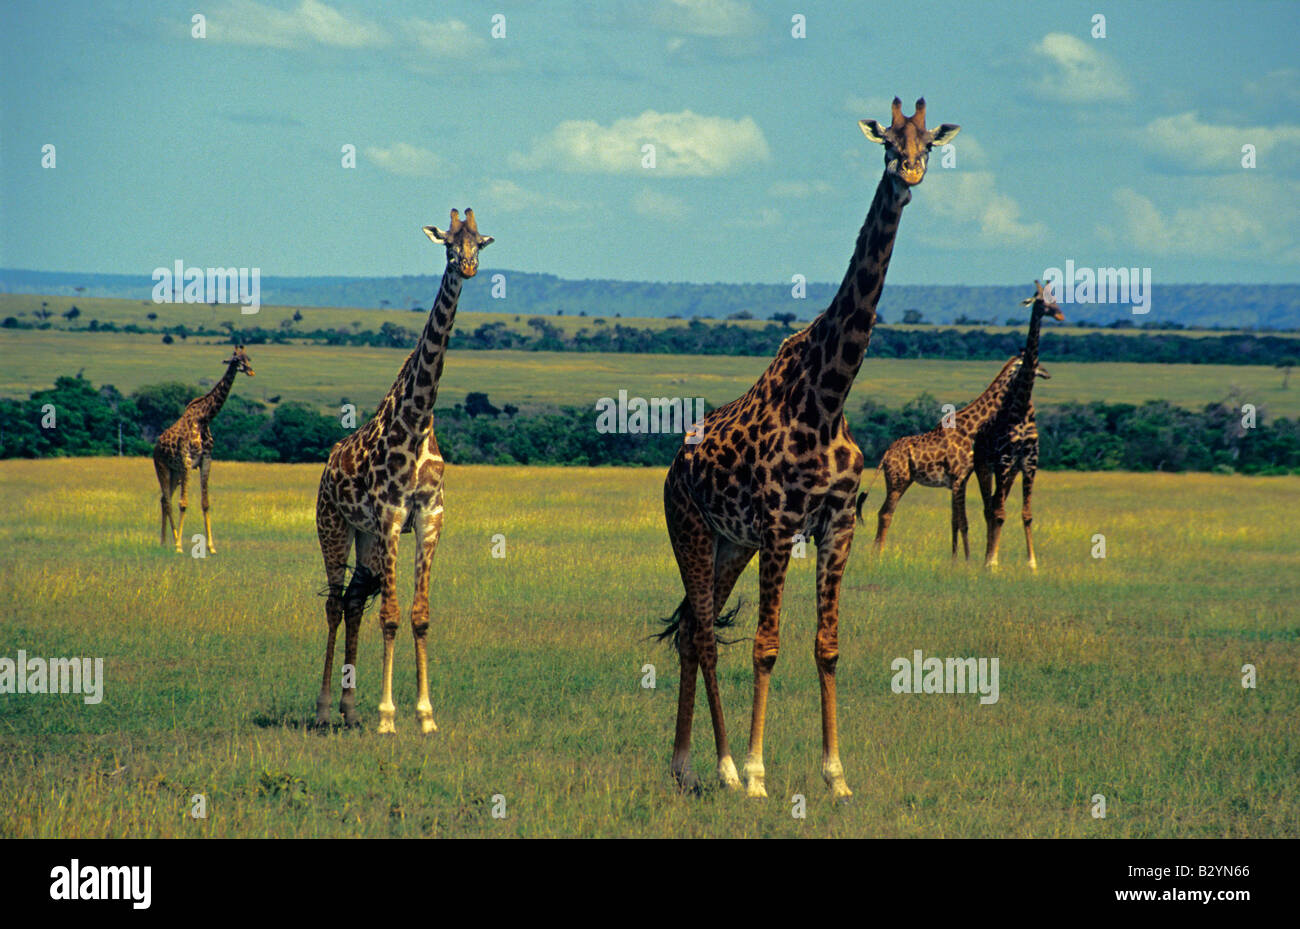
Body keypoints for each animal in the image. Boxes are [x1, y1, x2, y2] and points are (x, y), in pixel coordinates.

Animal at [151, 348, 253, 553]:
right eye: (237, 359)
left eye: (248, 358)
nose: (250, 371)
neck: (204, 418)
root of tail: (156, 448)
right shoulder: (187, 461)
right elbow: (183, 503)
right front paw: (179, 546)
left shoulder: (206, 460)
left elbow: (205, 503)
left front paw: (212, 547)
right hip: (162, 467)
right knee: (167, 501)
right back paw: (172, 541)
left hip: (175, 473)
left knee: (164, 499)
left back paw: (166, 541)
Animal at [314, 206, 491, 732]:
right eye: (448, 243)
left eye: (478, 242)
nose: (467, 266)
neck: (417, 422)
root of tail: (327, 466)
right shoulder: (392, 519)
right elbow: (390, 615)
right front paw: (389, 716)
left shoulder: (429, 519)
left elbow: (419, 615)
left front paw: (426, 715)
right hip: (334, 527)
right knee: (335, 603)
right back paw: (325, 707)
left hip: (366, 539)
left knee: (354, 600)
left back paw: (350, 710)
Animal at [660, 98, 956, 805]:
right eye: (887, 142)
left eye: (929, 142)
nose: (909, 174)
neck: (827, 397)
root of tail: (674, 467)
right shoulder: (778, 525)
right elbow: (766, 645)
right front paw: (759, 774)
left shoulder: (836, 524)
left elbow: (827, 646)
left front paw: (836, 775)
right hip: (691, 529)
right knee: (705, 636)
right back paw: (720, 767)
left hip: (728, 545)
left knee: (689, 633)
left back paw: (687, 767)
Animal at [857, 356, 1050, 558]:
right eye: (1035, 364)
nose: (1047, 373)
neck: (972, 428)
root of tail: (885, 455)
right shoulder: (959, 478)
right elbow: (963, 522)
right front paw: (967, 559)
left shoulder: (956, 481)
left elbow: (954, 522)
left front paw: (955, 559)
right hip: (897, 481)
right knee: (886, 513)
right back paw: (878, 554)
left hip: (903, 480)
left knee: (883, 512)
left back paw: (874, 552)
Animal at [977, 279, 1066, 571]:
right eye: (1040, 300)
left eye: (1054, 296)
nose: (1059, 315)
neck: (1023, 406)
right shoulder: (1004, 460)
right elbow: (999, 512)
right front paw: (993, 562)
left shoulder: (1029, 462)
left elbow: (1026, 514)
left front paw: (1032, 563)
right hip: (985, 466)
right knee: (990, 507)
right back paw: (987, 558)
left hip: (1011, 471)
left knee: (996, 503)